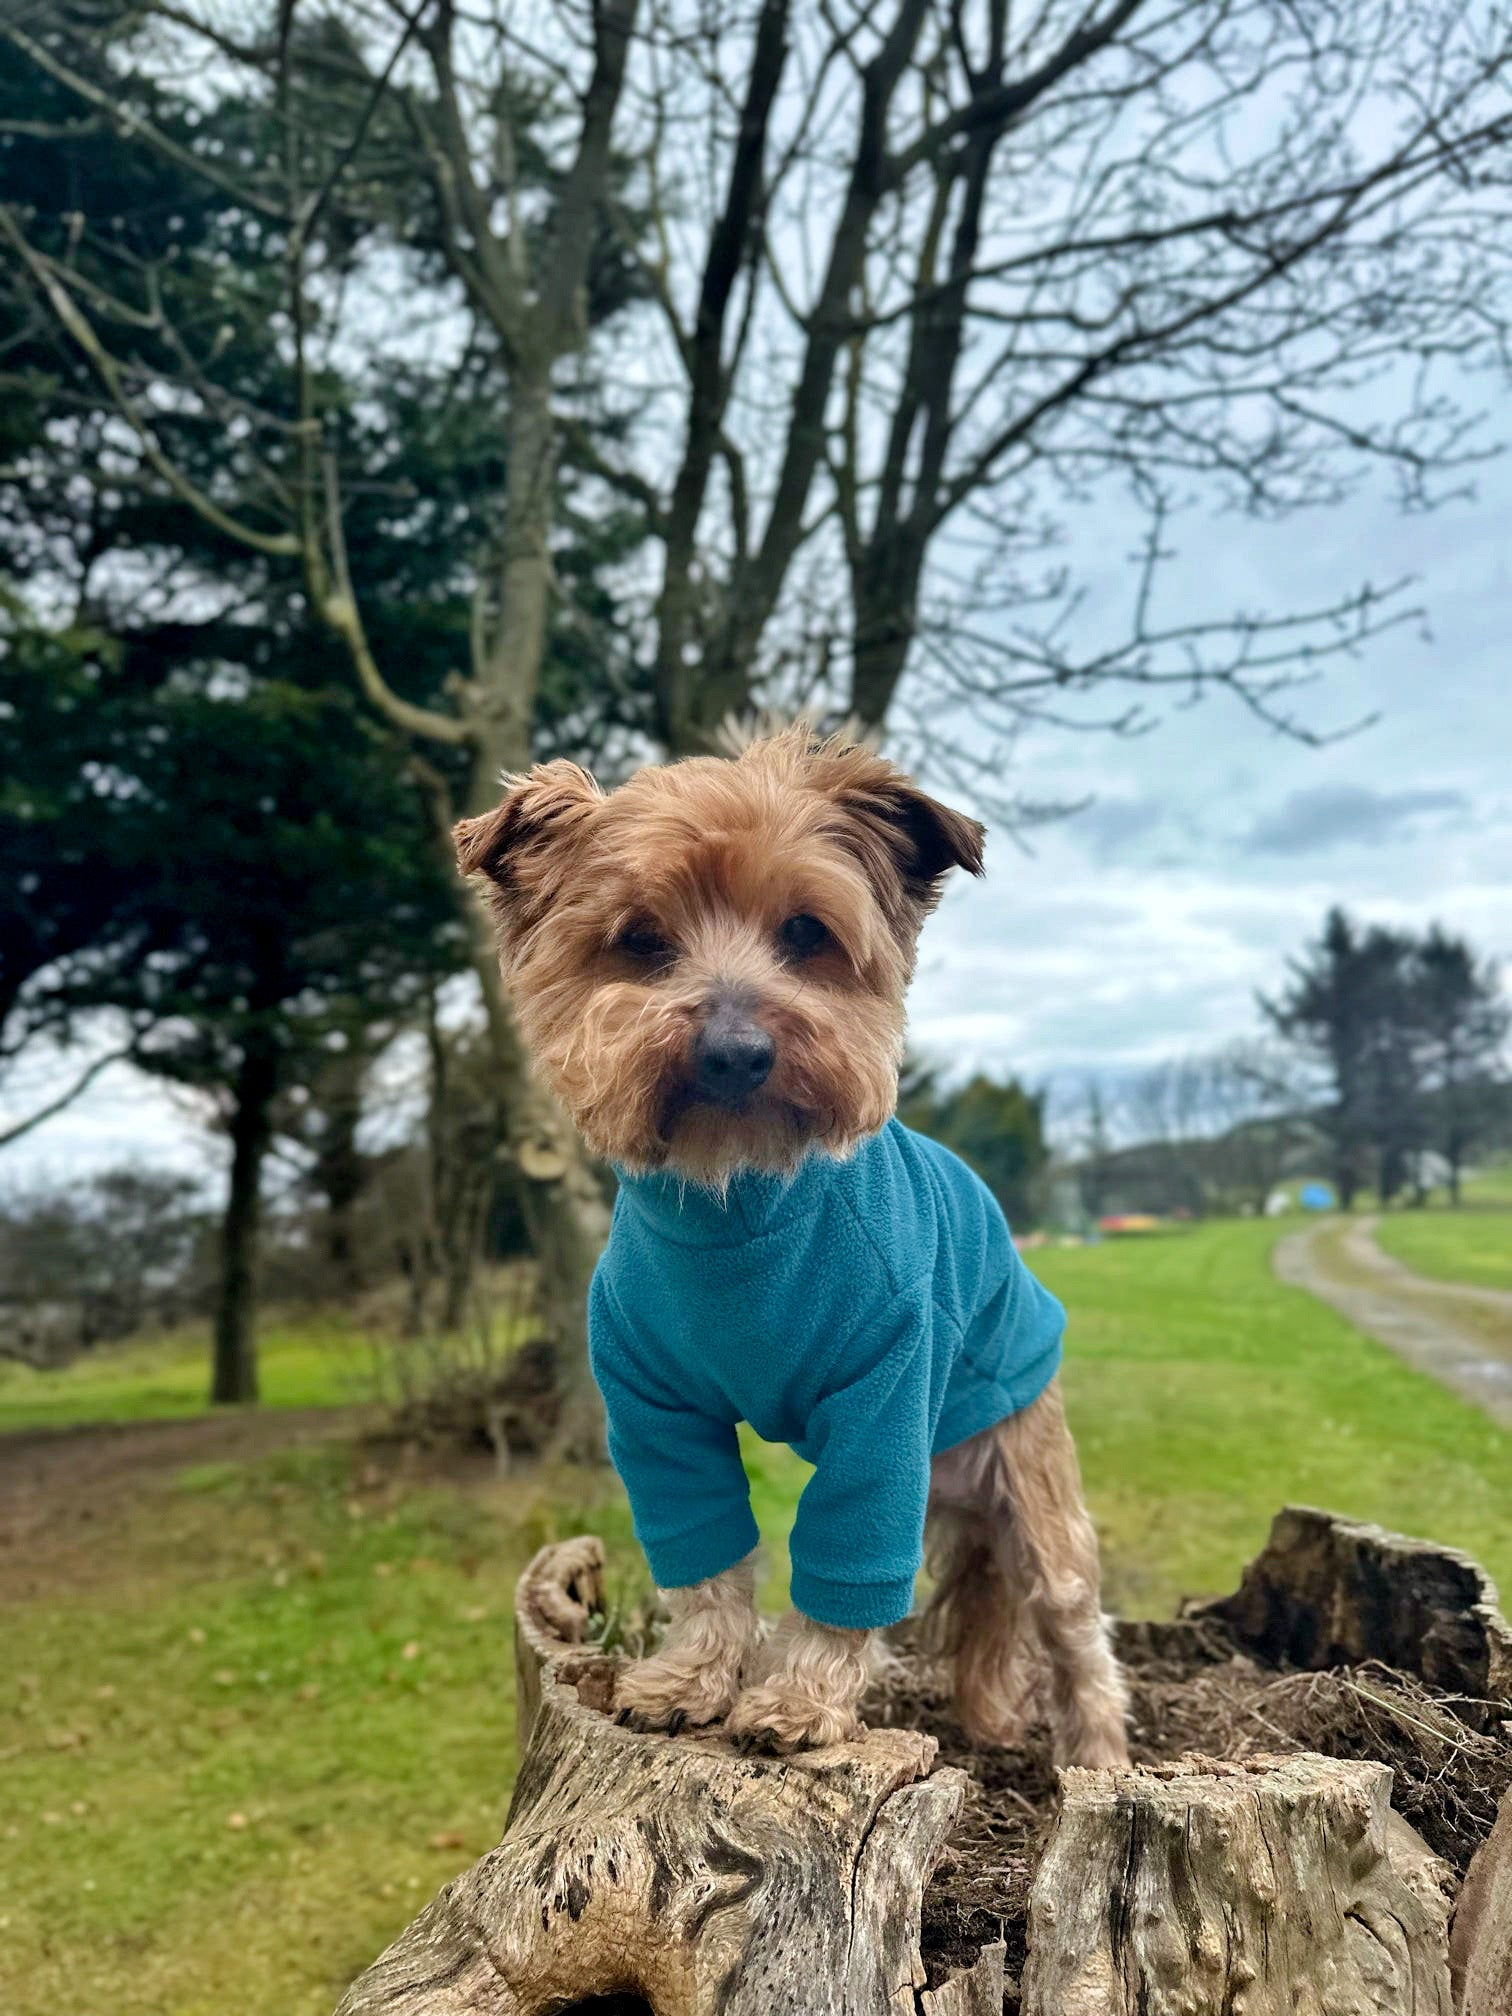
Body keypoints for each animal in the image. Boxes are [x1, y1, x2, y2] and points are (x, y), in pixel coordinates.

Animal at [455, 725, 1128, 1766]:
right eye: (640, 939)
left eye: (807, 932)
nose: (736, 1050)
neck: (736, 1199)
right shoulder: (653, 1412)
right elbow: (705, 1555)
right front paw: (691, 1679)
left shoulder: (885, 1397)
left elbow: (849, 1556)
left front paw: (800, 1698)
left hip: (1024, 1457)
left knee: (1071, 1621)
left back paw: (1097, 1759)